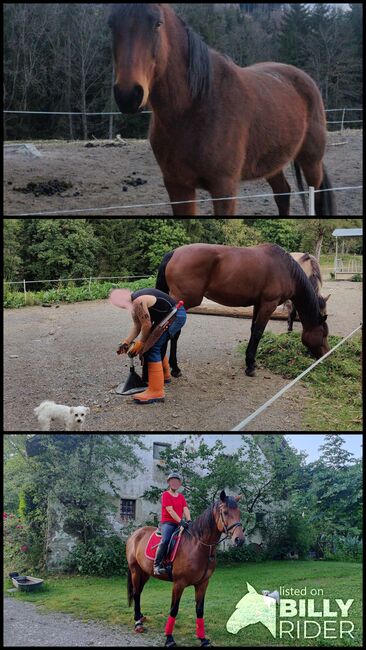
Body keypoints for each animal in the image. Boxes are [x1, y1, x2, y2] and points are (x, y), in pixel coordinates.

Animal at [107, 3, 336, 215]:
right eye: (111, 24)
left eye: (157, 23)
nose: (128, 95)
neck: (195, 107)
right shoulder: (177, 186)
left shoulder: (224, 188)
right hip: (273, 163)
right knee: (282, 193)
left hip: (311, 163)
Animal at [125, 488, 243, 644]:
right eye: (225, 512)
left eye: (239, 513)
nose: (239, 539)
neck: (197, 545)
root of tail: (135, 534)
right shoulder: (178, 584)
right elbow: (174, 609)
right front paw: (169, 639)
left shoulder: (203, 583)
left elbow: (200, 610)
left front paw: (203, 639)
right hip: (135, 571)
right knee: (136, 593)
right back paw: (138, 623)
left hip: (145, 573)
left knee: (138, 592)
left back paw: (140, 617)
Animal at [156, 242, 330, 374]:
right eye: (323, 335)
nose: (326, 355)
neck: (286, 269)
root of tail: (173, 253)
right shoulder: (269, 304)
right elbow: (259, 332)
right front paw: (251, 367)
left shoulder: (258, 304)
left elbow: (253, 330)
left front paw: (250, 360)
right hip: (183, 302)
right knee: (171, 331)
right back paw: (174, 368)